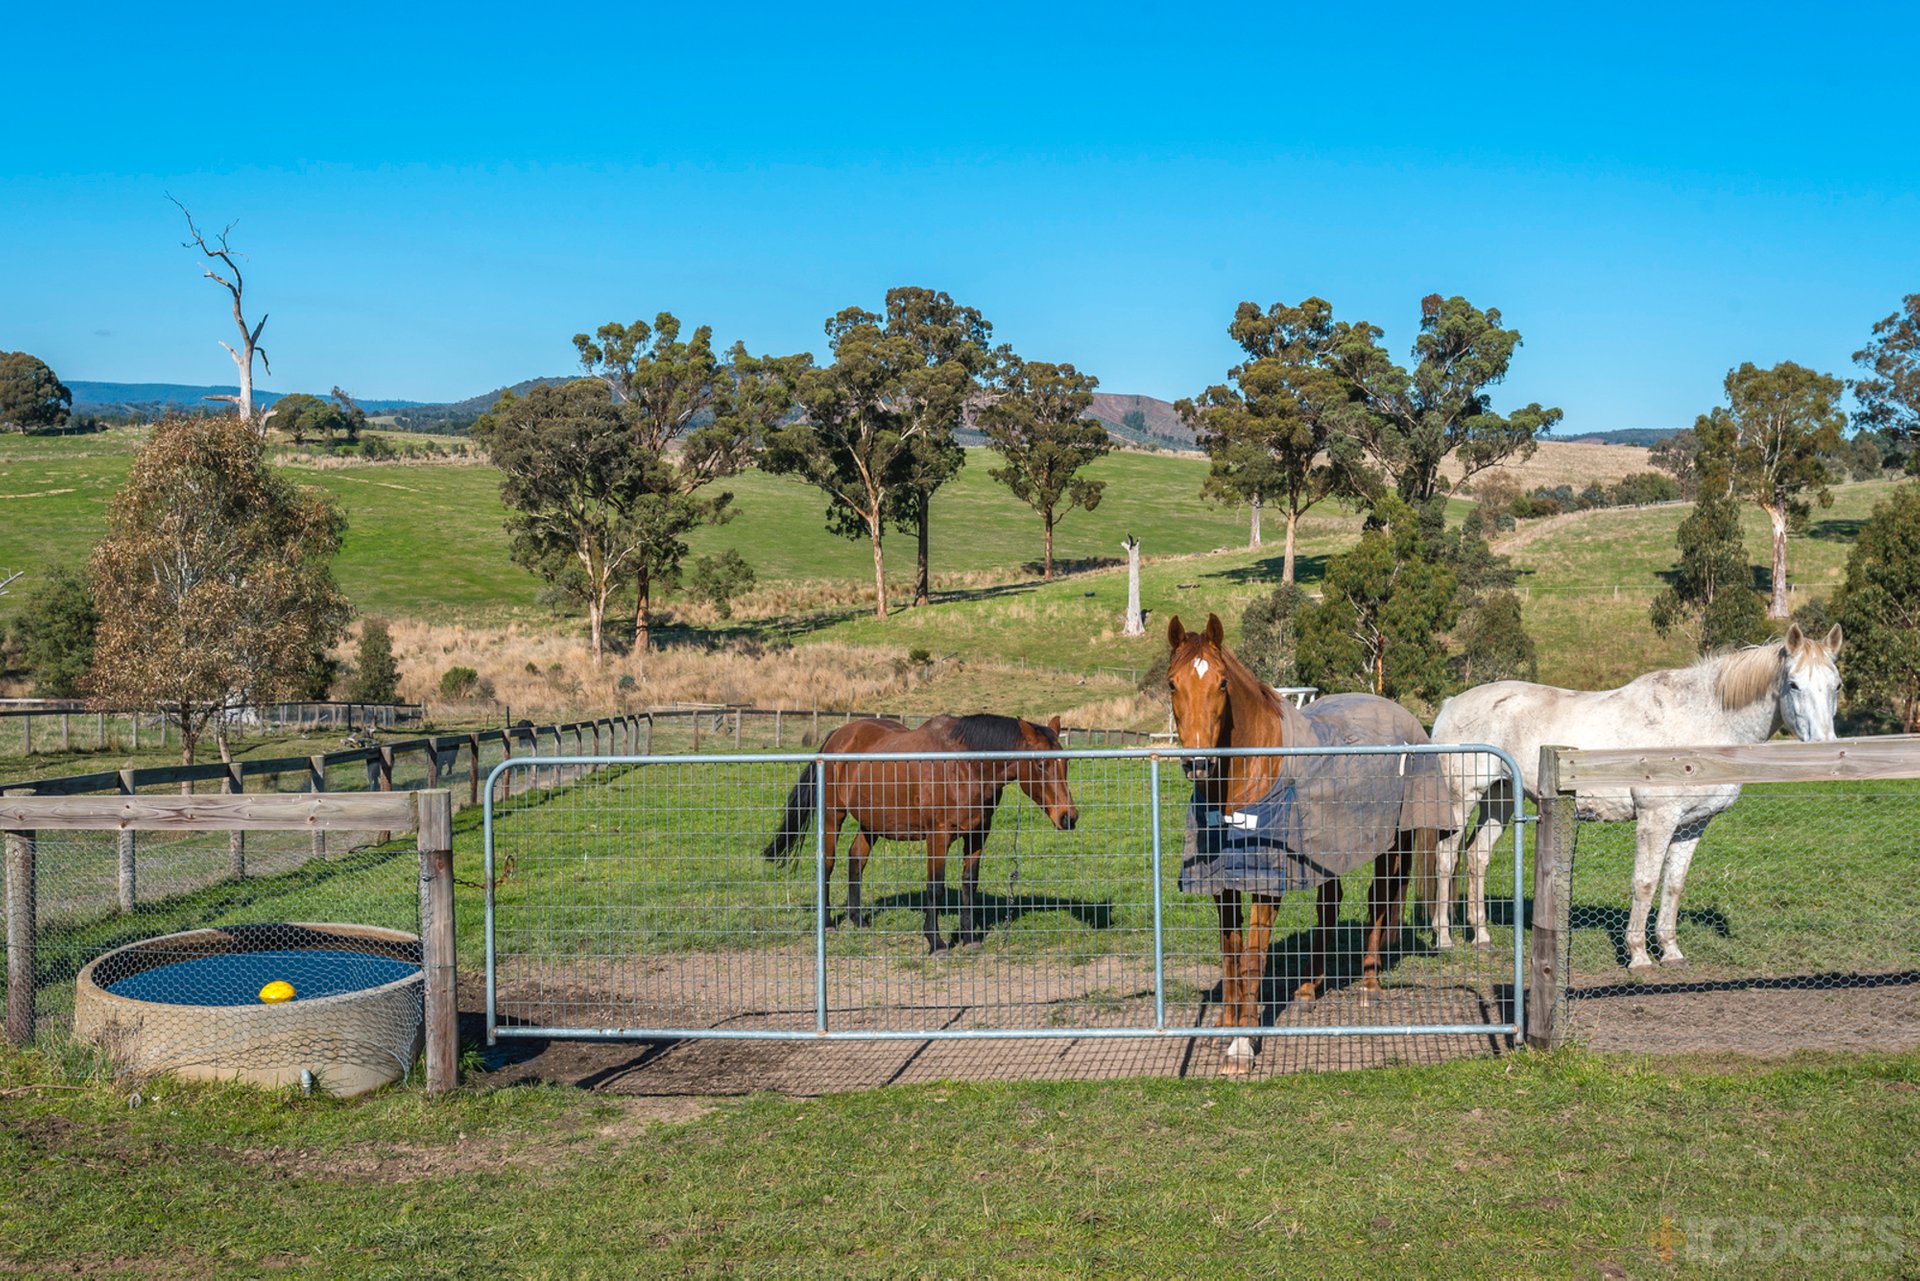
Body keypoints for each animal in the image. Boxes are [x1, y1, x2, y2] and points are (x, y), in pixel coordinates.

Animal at [756, 710, 1082, 952]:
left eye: (1066, 762)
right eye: (1040, 765)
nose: (1068, 817)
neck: (965, 767)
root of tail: (839, 735)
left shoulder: (977, 834)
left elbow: (969, 883)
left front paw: (970, 939)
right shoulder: (938, 837)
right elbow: (935, 887)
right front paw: (936, 942)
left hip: (872, 823)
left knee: (856, 858)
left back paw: (858, 920)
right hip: (833, 816)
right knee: (828, 863)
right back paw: (828, 924)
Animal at [1159, 610, 1443, 1075]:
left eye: (1222, 682)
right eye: (1171, 683)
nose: (1198, 763)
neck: (1250, 772)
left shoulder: (1266, 883)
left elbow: (1253, 957)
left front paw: (1242, 1048)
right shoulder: (1222, 881)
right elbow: (1231, 953)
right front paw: (1227, 1025)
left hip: (1394, 844)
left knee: (1381, 899)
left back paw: (1369, 984)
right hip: (1328, 849)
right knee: (1330, 902)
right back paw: (1309, 989)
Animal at [1436, 622, 1835, 971]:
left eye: (1837, 685)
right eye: (1794, 684)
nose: (1826, 747)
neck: (1700, 722)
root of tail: (1451, 704)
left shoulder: (1692, 825)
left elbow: (1673, 886)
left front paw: (1671, 953)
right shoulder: (1656, 818)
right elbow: (1644, 883)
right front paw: (1639, 956)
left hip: (1500, 798)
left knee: (1477, 857)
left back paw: (1482, 938)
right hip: (1460, 800)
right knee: (1446, 857)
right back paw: (1444, 940)